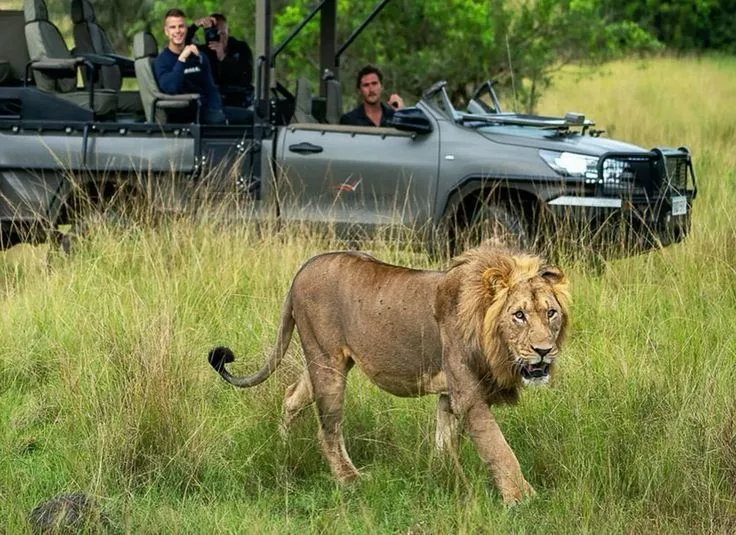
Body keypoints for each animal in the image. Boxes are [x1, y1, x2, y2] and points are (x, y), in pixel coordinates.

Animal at [208, 243, 571, 504]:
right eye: (519, 315)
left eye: (551, 313)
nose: (543, 350)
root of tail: (305, 267)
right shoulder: (468, 395)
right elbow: (498, 448)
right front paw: (522, 499)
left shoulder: (448, 394)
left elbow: (444, 441)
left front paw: (442, 476)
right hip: (327, 364)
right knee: (327, 430)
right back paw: (350, 480)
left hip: (324, 362)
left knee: (291, 397)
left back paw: (284, 447)